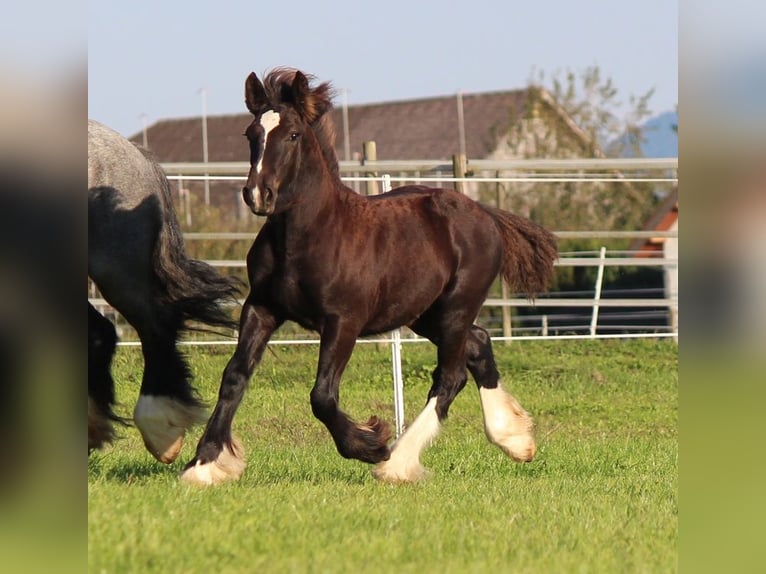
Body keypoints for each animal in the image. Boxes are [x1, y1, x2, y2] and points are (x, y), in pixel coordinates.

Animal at [185, 70, 560, 488]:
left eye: (294, 134)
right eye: (251, 134)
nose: (257, 195)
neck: (307, 238)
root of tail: (485, 214)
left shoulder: (343, 321)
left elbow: (322, 395)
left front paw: (370, 443)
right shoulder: (262, 308)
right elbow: (234, 376)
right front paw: (204, 464)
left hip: (456, 307)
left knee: (450, 376)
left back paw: (396, 462)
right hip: (422, 312)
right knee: (478, 344)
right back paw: (514, 438)